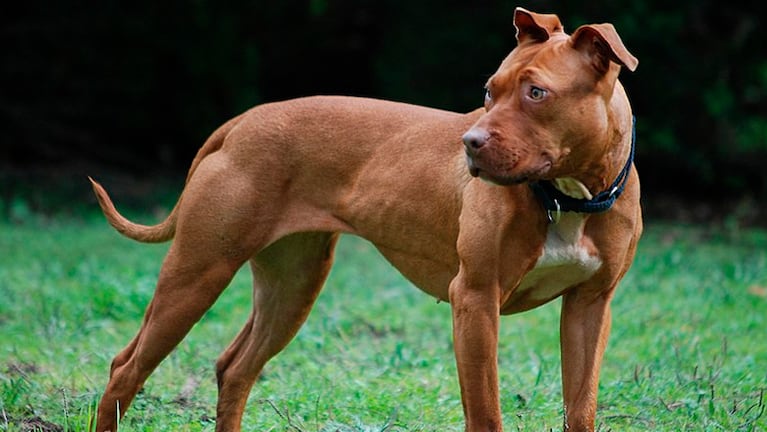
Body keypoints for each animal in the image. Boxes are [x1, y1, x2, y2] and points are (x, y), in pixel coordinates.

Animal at [88, 7, 640, 432]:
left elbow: (581, 409)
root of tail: (241, 122)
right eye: (489, 90)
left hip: (291, 286)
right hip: (198, 272)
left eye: (537, 93)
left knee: (235, 368)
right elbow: (486, 414)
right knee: (126, 369)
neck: (570, 197)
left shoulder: (590, 308)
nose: (470, 143)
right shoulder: (476, 300)